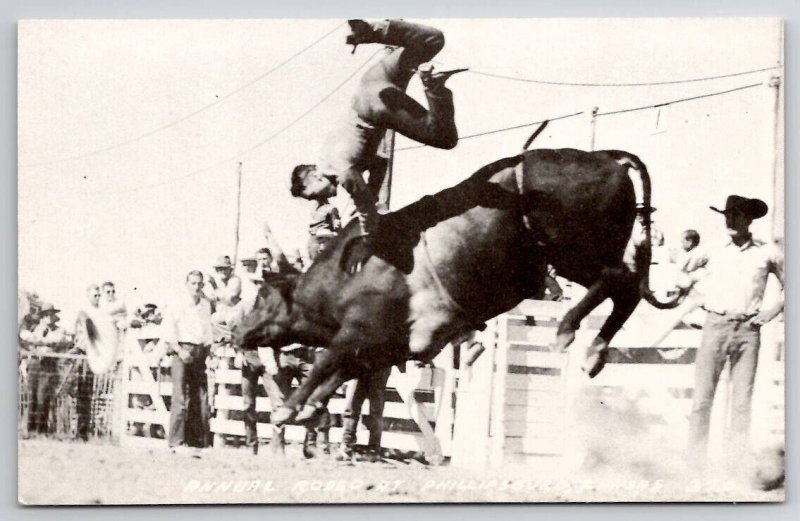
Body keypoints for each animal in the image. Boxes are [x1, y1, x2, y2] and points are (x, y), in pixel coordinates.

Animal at [234, 143, 684, 426]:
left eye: (261, 296)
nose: (236, 332)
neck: (347, 276)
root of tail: (606, 158)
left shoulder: (359, 331)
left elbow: (325, 363)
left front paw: (288, 409)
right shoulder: (382, 346)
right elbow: (340, 372)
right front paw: (311, 408)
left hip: (573, 253)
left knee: (617, 279)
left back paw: (566, 330)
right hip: (577, 259)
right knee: (626, 291)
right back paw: (593, 352)